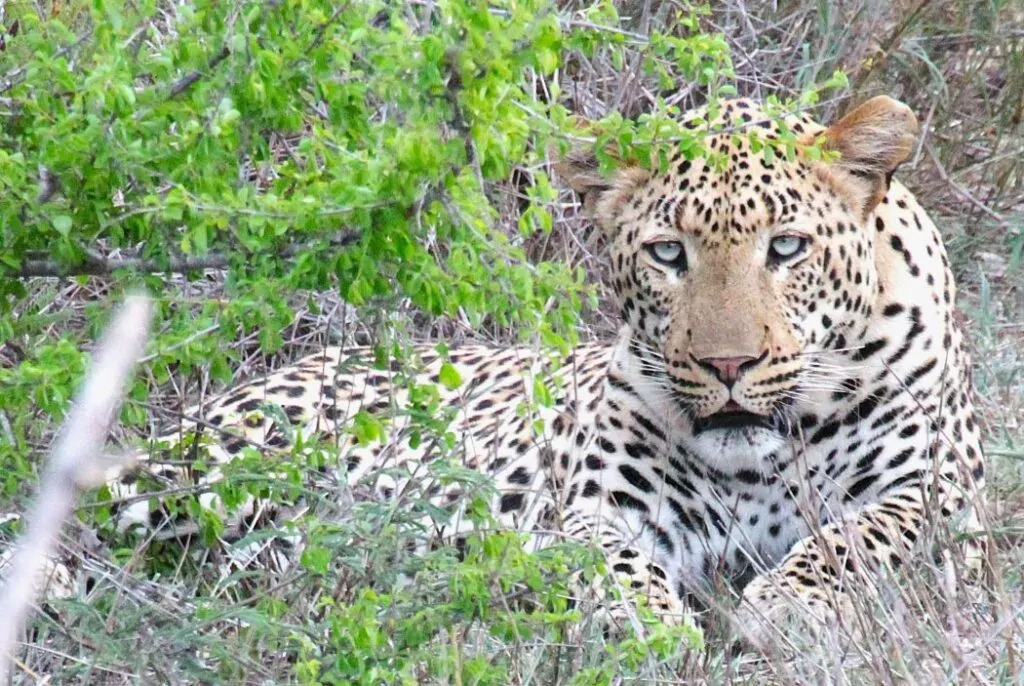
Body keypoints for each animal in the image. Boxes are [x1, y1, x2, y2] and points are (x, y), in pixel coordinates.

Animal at [11, 95, 986, 646]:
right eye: (668, 254)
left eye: (786, 248)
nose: (727, 364)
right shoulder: (602, 513)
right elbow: (616, 567)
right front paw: (653, 630)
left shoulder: (944, 498)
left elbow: (857, 539)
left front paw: (780, 608)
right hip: (208, 469)